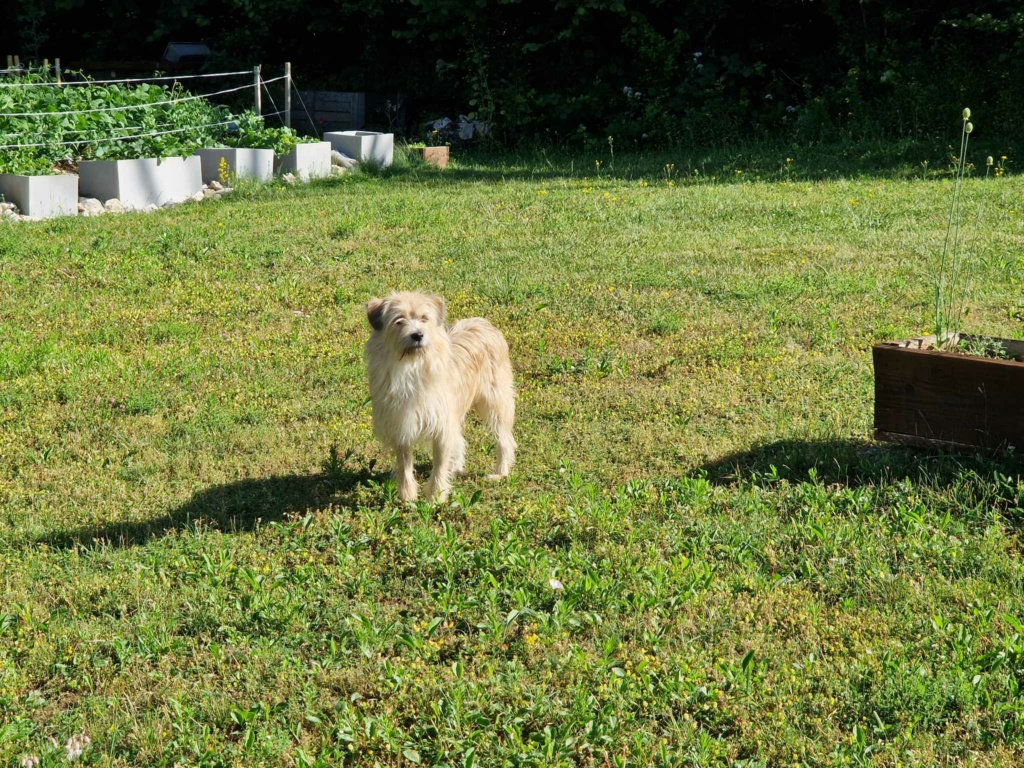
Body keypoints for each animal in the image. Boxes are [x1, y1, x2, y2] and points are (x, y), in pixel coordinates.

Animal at [364, 290, 516, 501]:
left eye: (424, 318)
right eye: (399, 320)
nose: (418, 335)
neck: (411, 366)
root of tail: (484, 324)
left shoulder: (441, 425)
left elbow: (440, 464)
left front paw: (436, 496)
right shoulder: (401, 424)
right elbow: (404, 464)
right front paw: (407, 496)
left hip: (495, 402)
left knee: (504, 439)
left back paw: (500, 472)